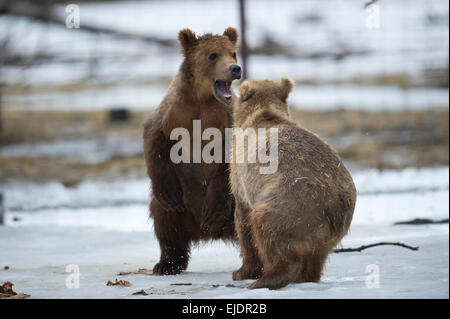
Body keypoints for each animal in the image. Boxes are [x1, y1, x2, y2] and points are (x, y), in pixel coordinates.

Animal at [144, 27, 243, 276]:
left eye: (233, 53)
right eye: (213, 55)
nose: (235, 69)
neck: (202, 99)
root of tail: (209, 233)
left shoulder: (228, 116)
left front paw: (213, 209)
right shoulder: (171, 112)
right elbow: (155, 141)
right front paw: (168, 194)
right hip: (183, 207)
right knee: (166, 222)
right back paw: (167, 263)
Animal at [230, 78, 356, 290]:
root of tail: (334, 206)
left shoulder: (240, 177)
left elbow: (243, 222)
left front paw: (241, 271)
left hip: (290, 203)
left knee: (268, 231)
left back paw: (266, 279)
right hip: (326, 232)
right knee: (315, 259)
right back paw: (305, 278)